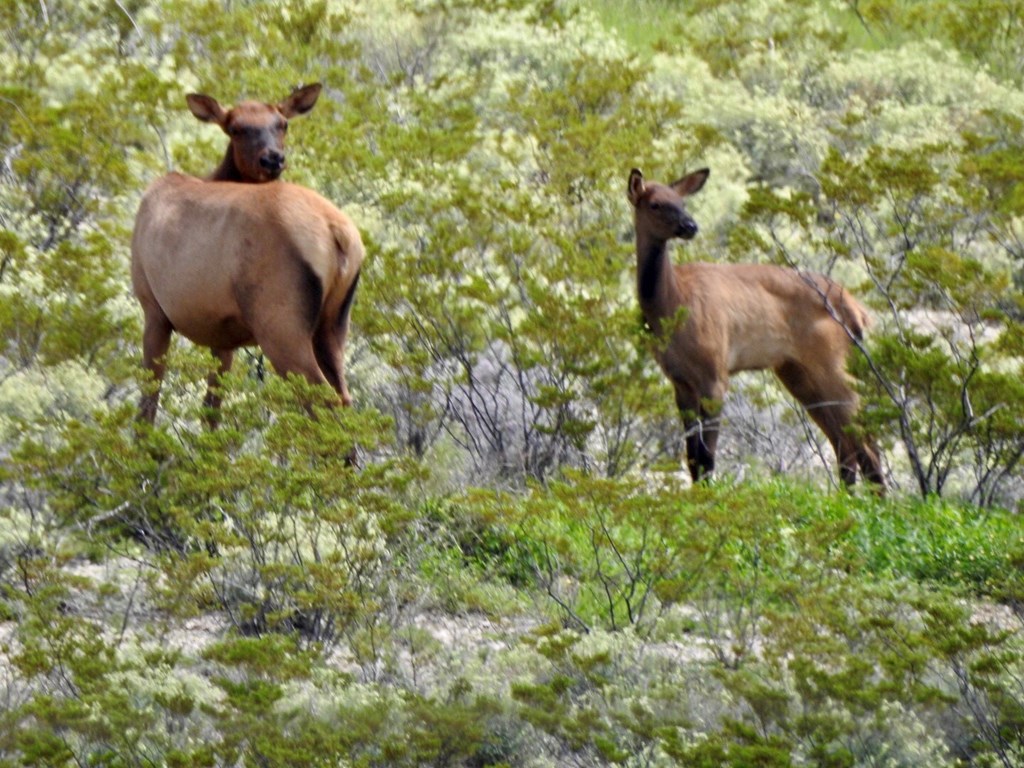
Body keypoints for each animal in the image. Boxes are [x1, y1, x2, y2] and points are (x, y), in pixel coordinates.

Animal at [132, 85, 364, 428]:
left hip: (281, 325)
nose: (273, 159)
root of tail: (338, 234)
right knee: (346, 400)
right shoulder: (222, 332)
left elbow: (148, 405)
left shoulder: (154, 308)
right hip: (333, 325)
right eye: (236, 128)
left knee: (323, 403)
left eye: (283, 124)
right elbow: (212, 409)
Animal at [626, 167, 884, 493]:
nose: (690, 226)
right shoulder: (679, 381)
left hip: (834, 363)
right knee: (844, 442)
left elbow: (707, 457)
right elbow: (692, 458)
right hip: (797, 372)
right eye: (656, 204)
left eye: (682, 202)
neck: (672, 307)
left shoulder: (715, 374)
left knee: (867, 443)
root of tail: (856, 310)